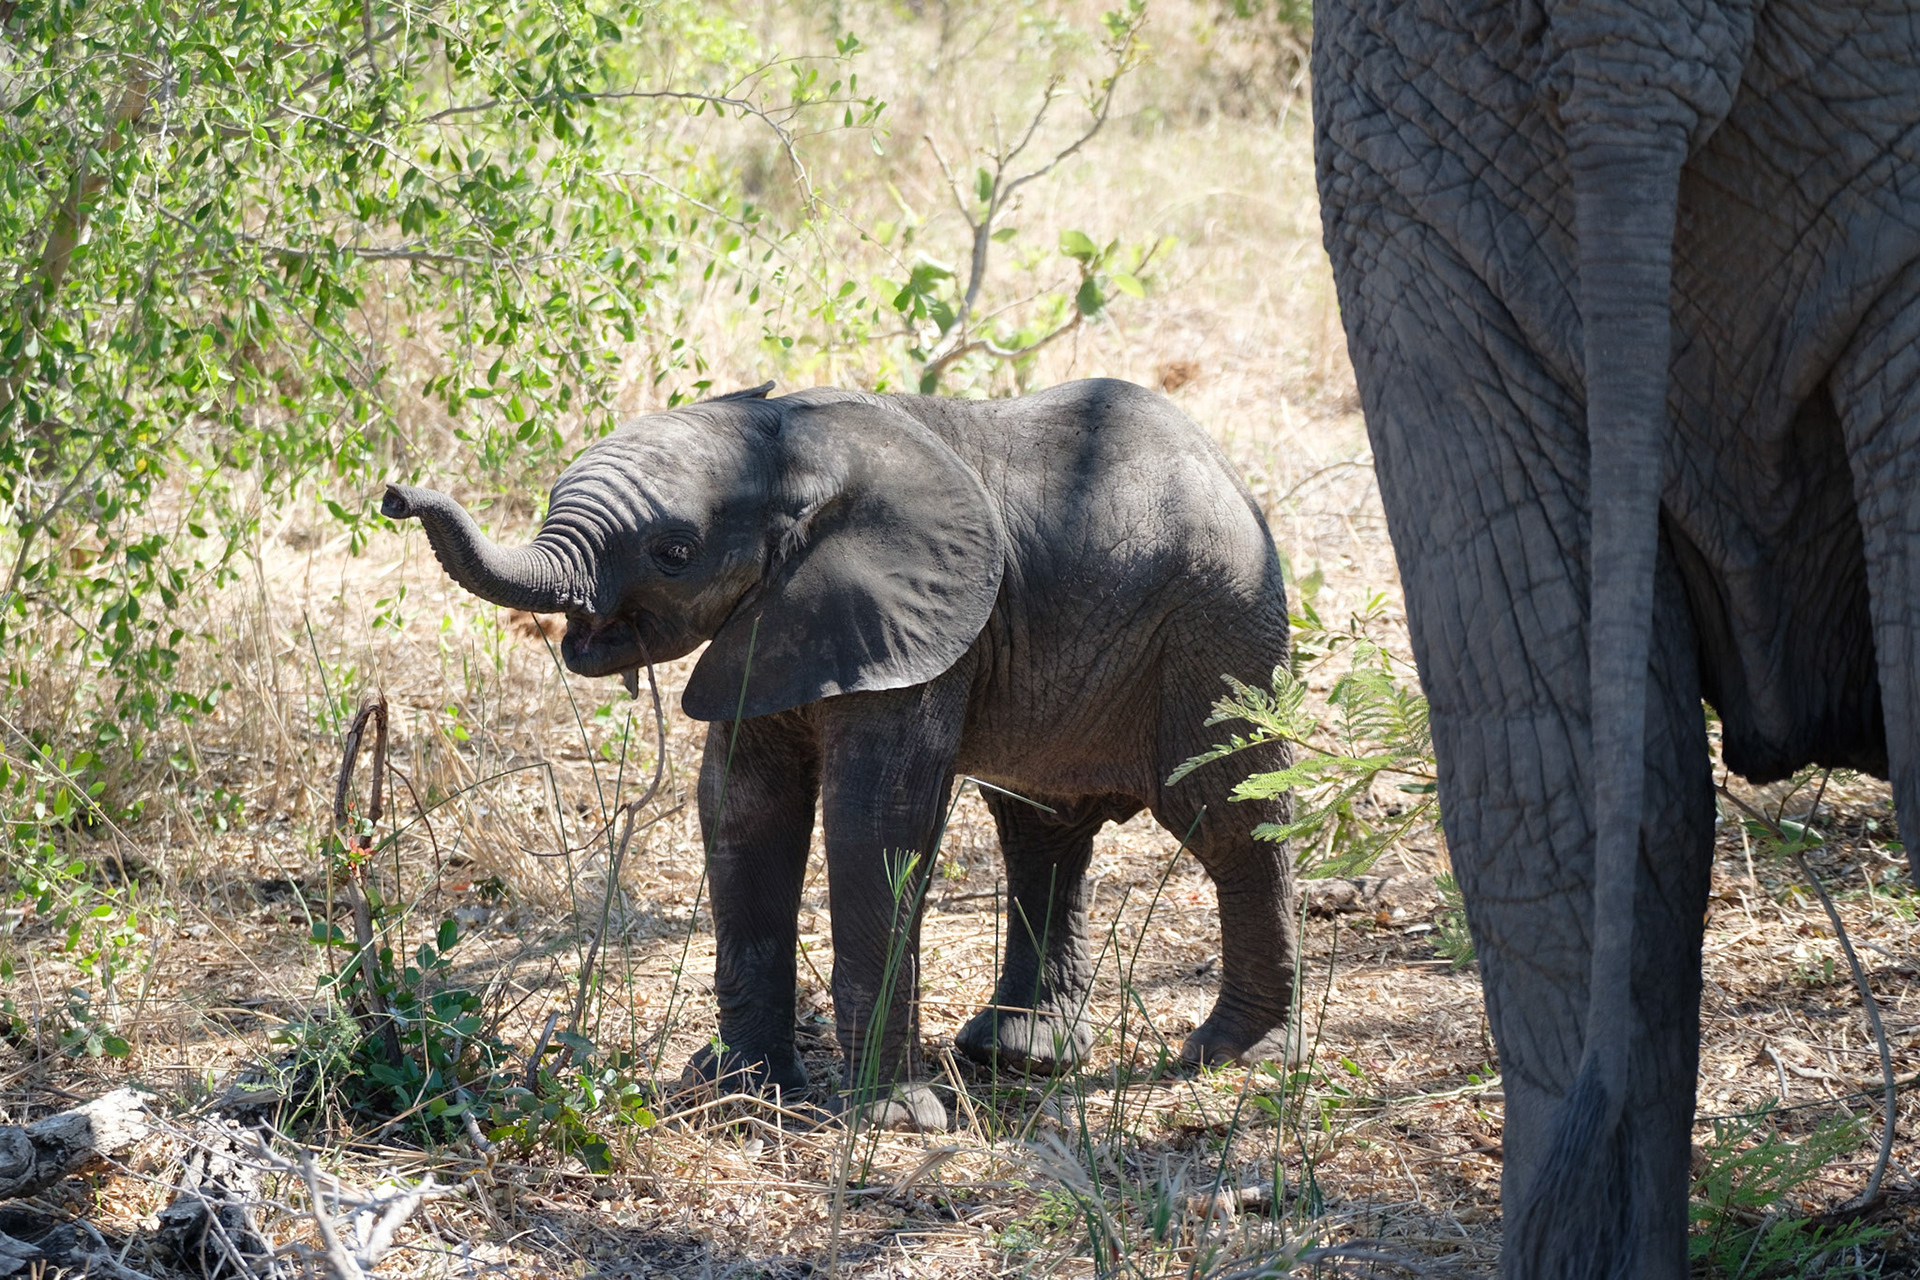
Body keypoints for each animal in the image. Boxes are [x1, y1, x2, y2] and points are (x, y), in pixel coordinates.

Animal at [382, 378, 1298, 1129]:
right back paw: (1018, 1055)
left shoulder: (917, 629)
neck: (798, 448)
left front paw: (892, 1120)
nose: (395, 493)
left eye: (674, 553)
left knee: (1229, 819)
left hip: (1218, 632)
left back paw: (1232, 1053)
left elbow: (875, 821)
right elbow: (742, 808)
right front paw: (739, 1089)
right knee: (1042, 829)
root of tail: (1230, 475)